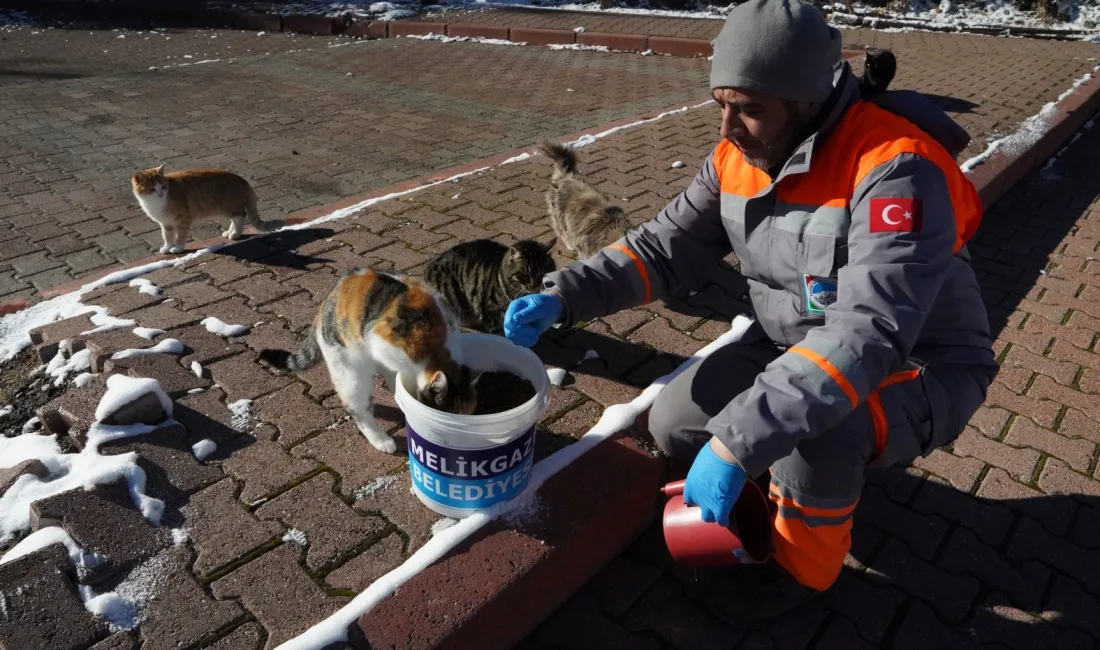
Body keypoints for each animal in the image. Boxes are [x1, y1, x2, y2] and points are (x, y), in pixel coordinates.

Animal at [132, 164, 283, 254]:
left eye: (163, 186)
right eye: (152, 189)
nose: (160, 194)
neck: (155, 203)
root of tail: (242, 180)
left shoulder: (183, 220)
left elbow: (180, 236)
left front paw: (178, 248)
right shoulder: (166, 223)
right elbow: (167, 237)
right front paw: (167, 247)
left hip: (227, 206)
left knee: (240, 216)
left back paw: (235, 234)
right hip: (226, 208)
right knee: (235, 219)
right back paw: (230, 232)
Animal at [259, 267, 484, 455]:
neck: (438, 351)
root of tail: (328, 300)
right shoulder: (381, 342)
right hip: (350, 370)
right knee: (358, 409)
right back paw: (381, 440)